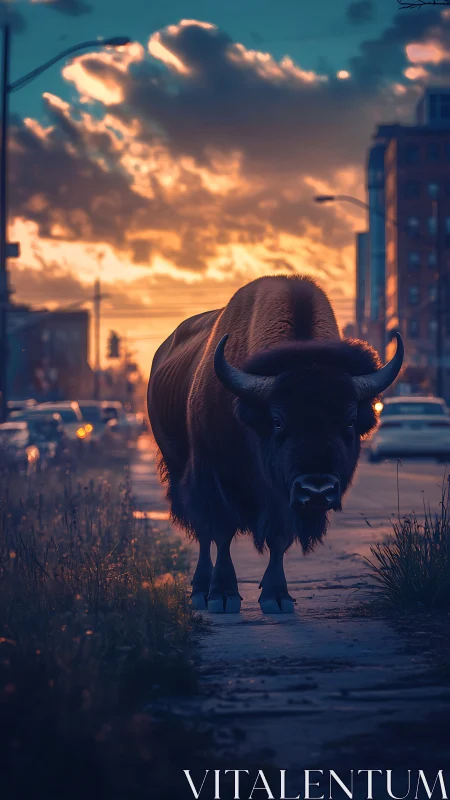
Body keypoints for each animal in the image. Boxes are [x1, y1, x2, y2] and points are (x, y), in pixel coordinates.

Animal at [148, 275, 403, 614]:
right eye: (278, 420)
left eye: (349, 420)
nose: (317, 490)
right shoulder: (213, 477)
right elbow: (221, 532)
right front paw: (223, 596)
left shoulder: (282, 494)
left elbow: (279, 539)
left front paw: (277, 596)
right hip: (179, 470)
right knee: (203, 532)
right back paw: (201, 591)